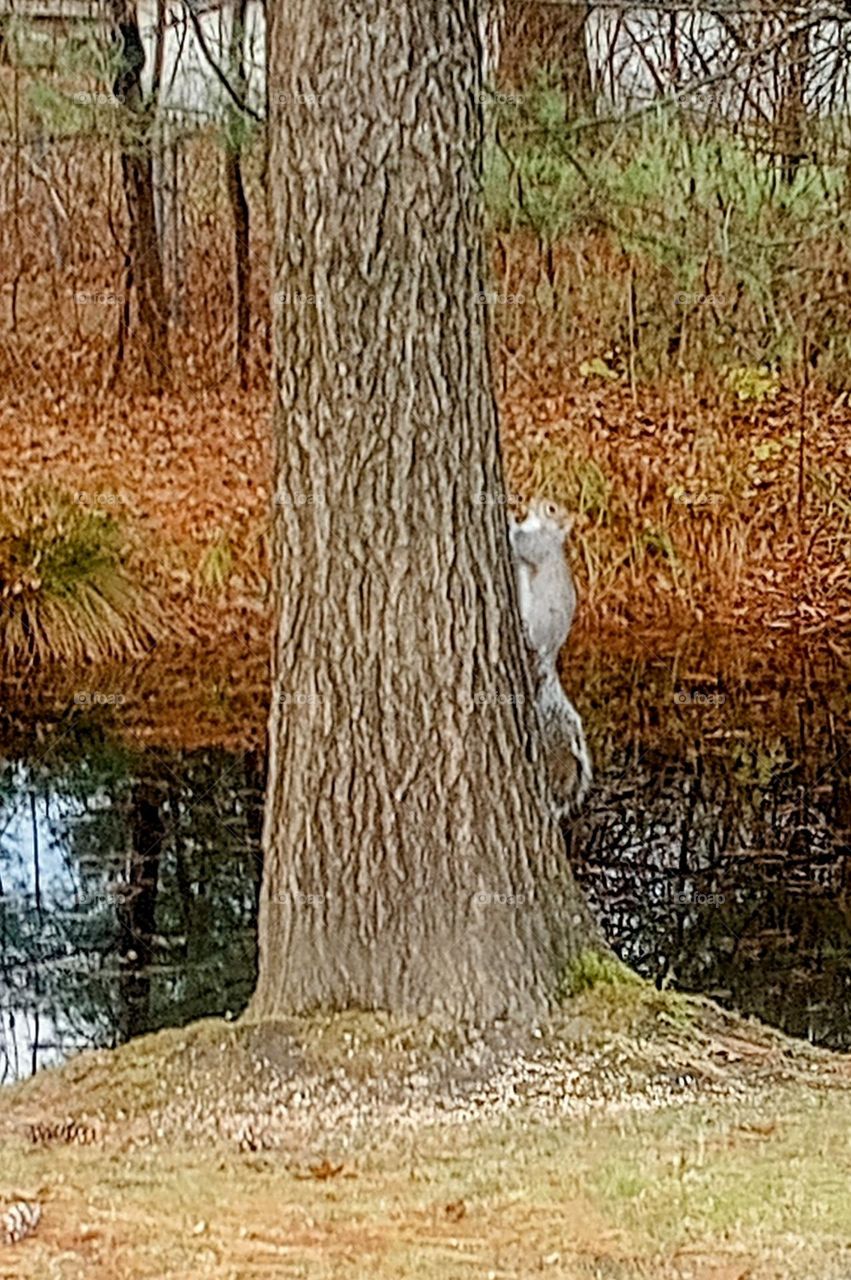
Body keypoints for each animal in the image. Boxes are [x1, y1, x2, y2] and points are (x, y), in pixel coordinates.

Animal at [511, 494, 591, 814]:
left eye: (552, 509)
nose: (532, 500)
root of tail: (547, 662)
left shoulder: (538, 546)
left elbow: (521, 544)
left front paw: (508, 522)